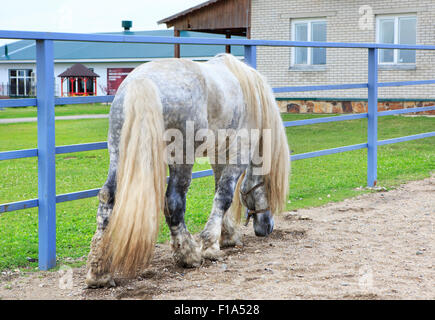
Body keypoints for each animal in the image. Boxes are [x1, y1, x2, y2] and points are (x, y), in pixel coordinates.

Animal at [84, 53, 290, 288]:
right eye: (271, 189)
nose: (267, 227)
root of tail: (143, 81)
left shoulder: (219, 154)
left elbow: (220, 192)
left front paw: (227, 235)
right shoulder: (239, 152)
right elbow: (225, 196)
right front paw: (210, 245)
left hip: (118, 153)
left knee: (107, 197)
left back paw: (99, 272)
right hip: (181, 159)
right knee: (173, 201)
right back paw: (189, 254)